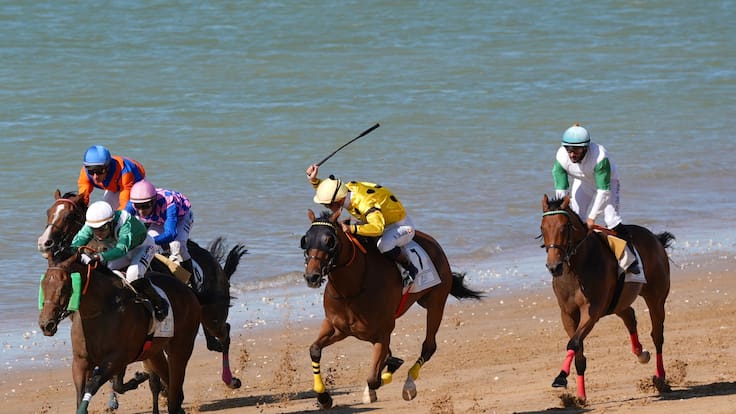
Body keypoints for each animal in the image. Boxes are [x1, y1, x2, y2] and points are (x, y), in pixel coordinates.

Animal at [38, 190, 247, 390]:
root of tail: (212, 259)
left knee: (225, 333)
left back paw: (230, 379)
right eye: (49, 212)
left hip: (213, 315)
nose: (45, 243)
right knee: (212, 342)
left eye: (70, 215)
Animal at [38, 250, 201, 414]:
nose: (46, 324)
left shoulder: (117, 358)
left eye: (64, 288)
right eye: (43, 286)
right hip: (154, 352)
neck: (101, 310)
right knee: (168, 380)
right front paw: (138, 379)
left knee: (175, 381)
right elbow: (86, 391)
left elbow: (92, 385)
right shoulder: (81, 361)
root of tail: (187, 289)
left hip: (181, 346)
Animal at [300, 209, 483, 408]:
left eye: (329, 241)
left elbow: (374, 378)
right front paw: (323, 397)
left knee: (429, 347)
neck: (353, 288)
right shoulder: (337, 327)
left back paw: (409, 384)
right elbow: (314, 350)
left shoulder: (383, 333)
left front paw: (384, 378)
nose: (312, 276)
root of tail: (433, 243)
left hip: (435, 304)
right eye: (305, 240)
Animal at [539, 194, 675, 402]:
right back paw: (640, 353)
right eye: (542, 228)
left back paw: (660, 378)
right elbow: (578, 352)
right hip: (619, 302)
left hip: (656, 297)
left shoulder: (592, 312)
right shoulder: (567, 314)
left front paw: (561, 377)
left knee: (657, 335)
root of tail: (655, 238)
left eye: (564, 227)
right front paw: (580, 395)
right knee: (630, 316)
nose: (554, 266)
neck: (576, 269)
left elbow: (574, 343)